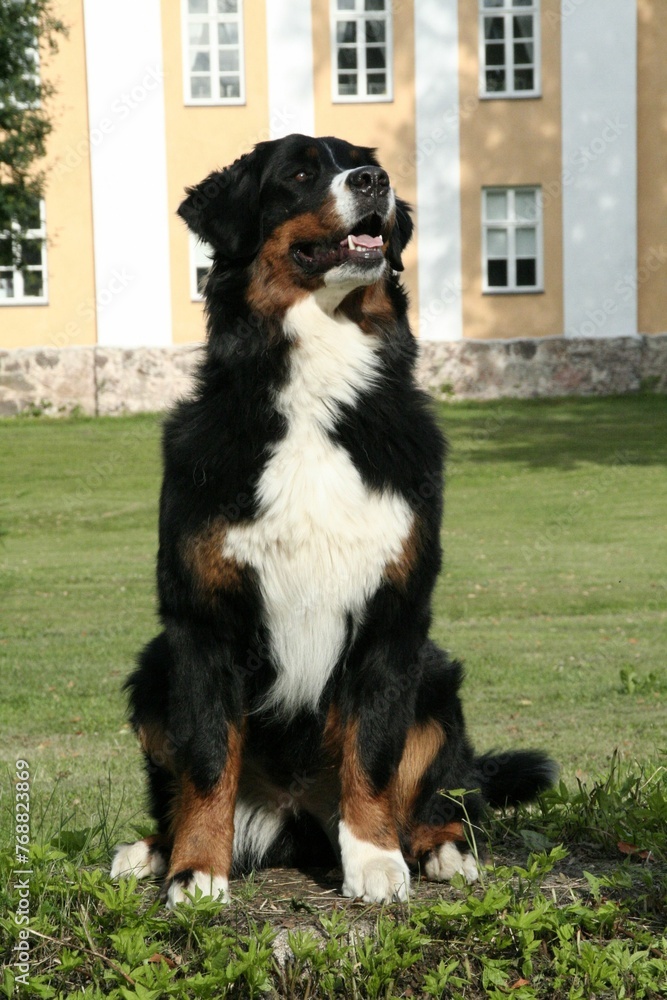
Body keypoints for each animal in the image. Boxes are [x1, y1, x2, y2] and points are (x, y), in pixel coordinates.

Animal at [111, 133, 560, 908]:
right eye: (297, 173)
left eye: (359, 160)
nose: (373, 180)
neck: (315, 393)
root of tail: (294, 812)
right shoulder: (200, 622)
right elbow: (206, 758)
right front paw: (195, 871)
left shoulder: (393, 615)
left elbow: (374, 752)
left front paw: (376, 861)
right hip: (151, 673)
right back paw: (151, 850)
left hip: (436, 683)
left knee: (442, 794)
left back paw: (440, 850)